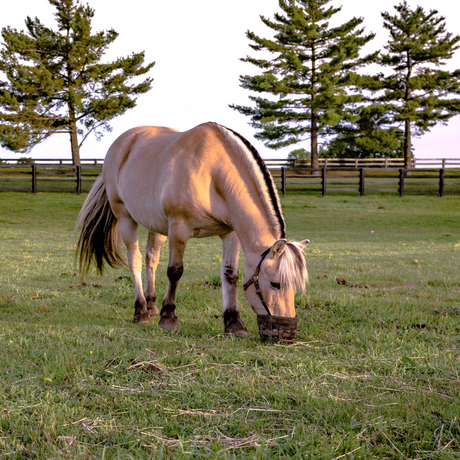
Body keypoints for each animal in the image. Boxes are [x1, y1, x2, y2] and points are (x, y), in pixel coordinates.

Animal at [76, 122, 310, 338]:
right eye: (275, 284)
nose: (287, 332)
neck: (213, 173)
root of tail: (121, 143)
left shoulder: (230, 233)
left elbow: (230, 275)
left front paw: (233, 323)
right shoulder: (179, 229)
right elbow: (175, 271)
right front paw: (168, 318)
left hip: (157, 225)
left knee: (151, 258)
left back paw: (151, 306)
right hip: (125, 217)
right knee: (135, 260)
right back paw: (141, 311)